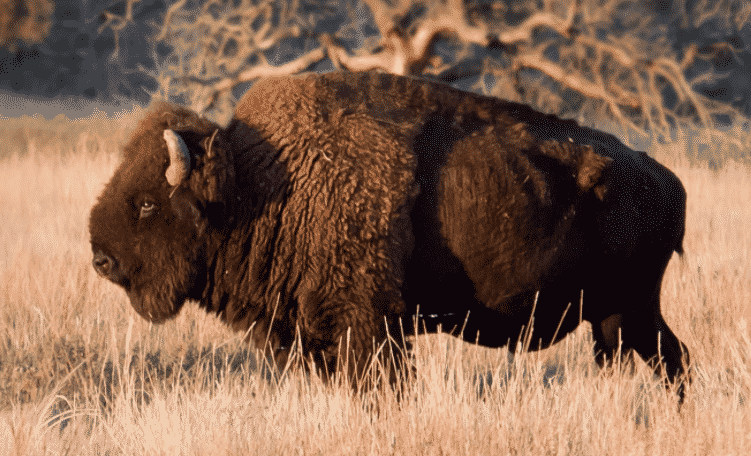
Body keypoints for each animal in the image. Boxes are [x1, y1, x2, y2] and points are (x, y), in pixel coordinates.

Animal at [91, 69, 692, 398]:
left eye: (147, 203)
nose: (101, 259)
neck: (260, 182)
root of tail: (665, 177)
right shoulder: (306, 336)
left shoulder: (371, 328)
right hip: (613, 317)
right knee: (657, 360)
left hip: (629, 311)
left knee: (671, 359)